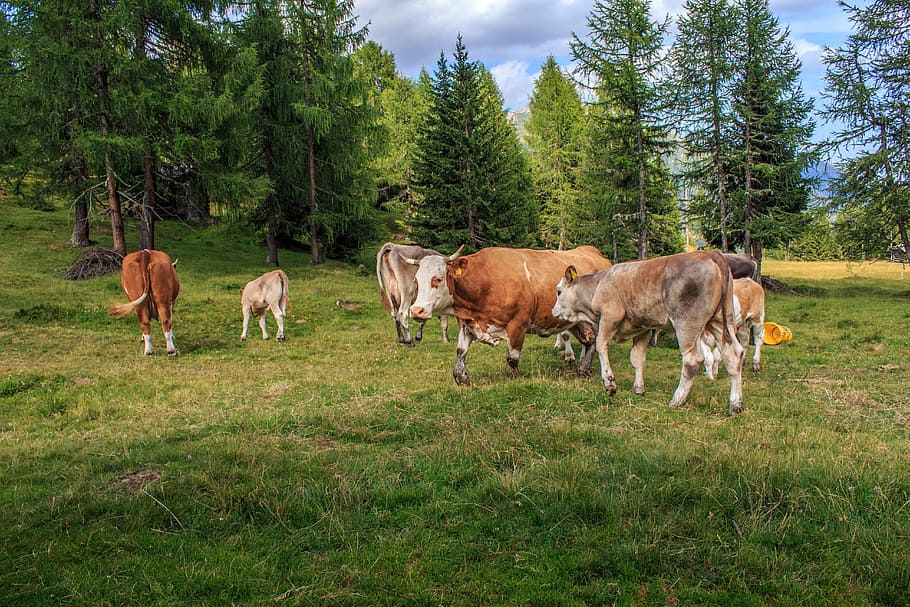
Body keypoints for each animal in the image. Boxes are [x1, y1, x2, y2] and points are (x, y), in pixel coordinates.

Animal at [409, 246, 612, 385]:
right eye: (416, 280)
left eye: (438, 279)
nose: (416, 310)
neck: (485, 282)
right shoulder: (468, 323)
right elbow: (461, 352)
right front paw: (462, 378)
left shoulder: (518, 324)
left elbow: (512, 358)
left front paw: (514, 379)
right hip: (577, 322)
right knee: (588, 341)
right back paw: (584, 368)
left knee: (595, 341)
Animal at [551, 251, 745, 416]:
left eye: (559, 291)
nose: (553, 311)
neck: (598, 286)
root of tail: (710, 254)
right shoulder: (642, 328)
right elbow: (637, 358)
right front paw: (638, 388)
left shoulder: (609, 317)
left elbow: (601, 346)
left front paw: (609, 382)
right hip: (721, 320)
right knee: (734, 355)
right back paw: (735, 405)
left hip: (687, 324)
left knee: (692, 360)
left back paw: (677, 399)